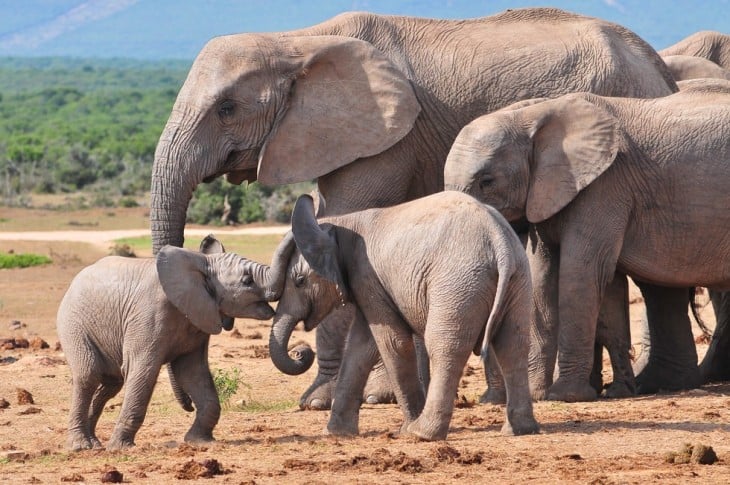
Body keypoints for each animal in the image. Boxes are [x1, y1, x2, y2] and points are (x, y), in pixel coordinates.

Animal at [56, 235, 290, 450]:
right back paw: (81, 446)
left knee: (111, 383)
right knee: (88, 375)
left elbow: (193, 373)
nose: (189, 407)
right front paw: (122, 448)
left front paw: (200, 442)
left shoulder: (198, 319)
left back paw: (95, 444)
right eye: (247, 281)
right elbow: (143, 371)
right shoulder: (147, 315)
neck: (202, 265)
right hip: (72, 324)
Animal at [151, 7, 680, 408]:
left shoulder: (383, 138)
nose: (187, 404)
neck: (296, 43)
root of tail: (658, 66)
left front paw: (331, 401)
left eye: (226, 109)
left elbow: (344, 219)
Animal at [270, 191, 536, 440]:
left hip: (458, 283)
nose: (301, 352)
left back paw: (422, 433)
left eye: (299, 281)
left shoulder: (367, 275)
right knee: (513, 344)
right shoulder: (369, 284)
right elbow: (361, 347)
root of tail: (498, 240)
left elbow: (392, 343)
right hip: (519, 278)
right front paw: (336, 434)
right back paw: (520, 430)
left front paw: (405, 430)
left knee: (444, 346)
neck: (340, 223)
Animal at [440, 77, 728, 400]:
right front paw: (539, 394)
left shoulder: (604, 186)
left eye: (487, 182)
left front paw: (565, 396)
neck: (531, 114)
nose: (486, 399)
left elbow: (579, 275)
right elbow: (543, 278)